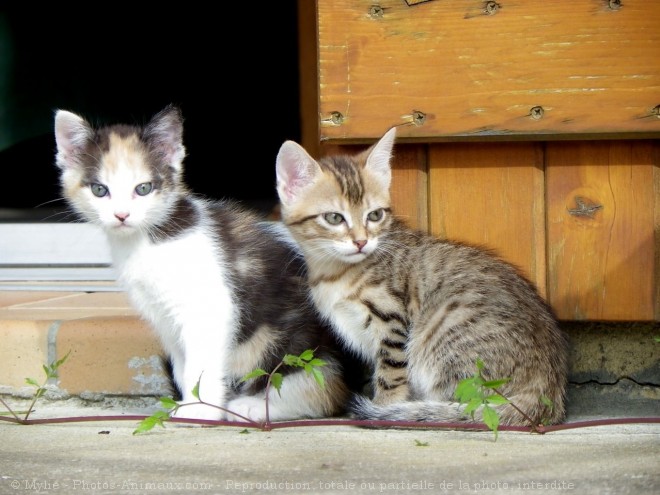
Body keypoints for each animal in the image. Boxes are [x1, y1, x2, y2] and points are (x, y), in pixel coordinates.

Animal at [53, 105, 350, 422]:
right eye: (100, 190)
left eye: (143, 188)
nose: (122, 215)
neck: (147, 240)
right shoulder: (163, 316)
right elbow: (183, 366)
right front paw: (189, 403)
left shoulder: (210, 306)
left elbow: (202, 363)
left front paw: (200, 409)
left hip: (291, 342)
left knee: (323, 388)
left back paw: (254, 406)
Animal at [276, 128, 568, 426]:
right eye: (334, 218)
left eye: (375, 215)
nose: (361, 242)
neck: (334, 272)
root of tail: (547, 389)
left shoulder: (391, 322)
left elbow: (390, 374)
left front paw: (384, 407)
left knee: (470, 405)